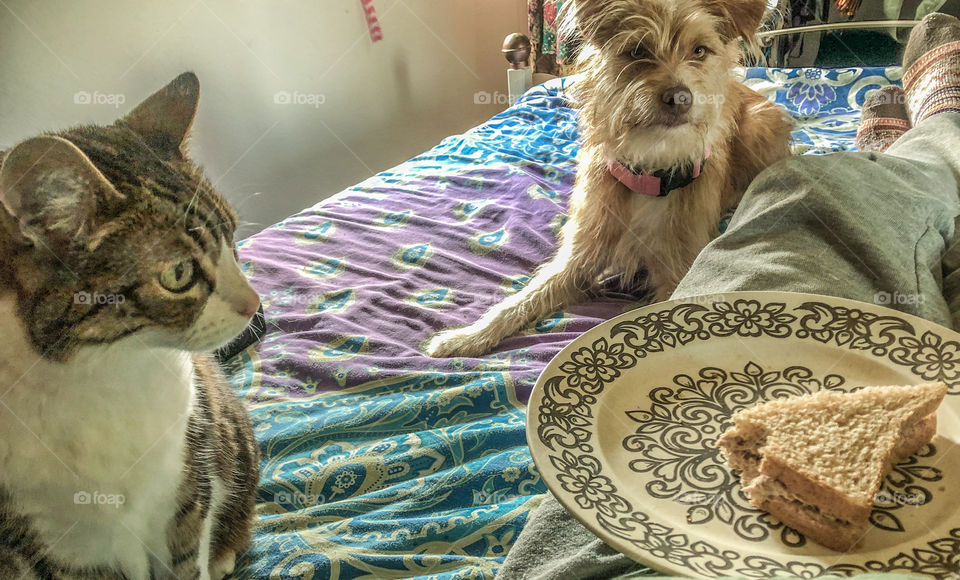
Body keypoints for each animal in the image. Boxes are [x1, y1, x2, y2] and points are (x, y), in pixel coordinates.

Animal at [0, 73, 260, 580]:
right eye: (178, 274)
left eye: (232, 239)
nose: (255, 303)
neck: (99, 373)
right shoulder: (56, 544)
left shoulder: (185, 486)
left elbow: (187, 559)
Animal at [426, 0, 788, 358]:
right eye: (638, 51)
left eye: (699, 50)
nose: (680, 97)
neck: (650, 170)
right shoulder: (578, 258)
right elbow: (523, 298)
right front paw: (466, 336)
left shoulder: (678, 272)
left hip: (758, 128)